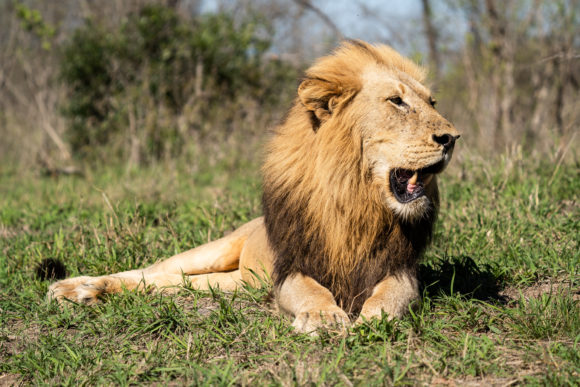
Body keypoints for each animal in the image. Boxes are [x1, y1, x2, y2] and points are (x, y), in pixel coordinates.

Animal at [47, 41, 460, 334]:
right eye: (396, 101)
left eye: (431, 102)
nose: (452, 138)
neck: (354, 197)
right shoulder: (291, 268)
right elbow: (311, 291)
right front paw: (324, 318)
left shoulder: (400, 268)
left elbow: (391, 296)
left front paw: (375, 320)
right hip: (215, 251)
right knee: (149, 271)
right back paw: (76, 288)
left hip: (233, 282)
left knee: (172, 283)